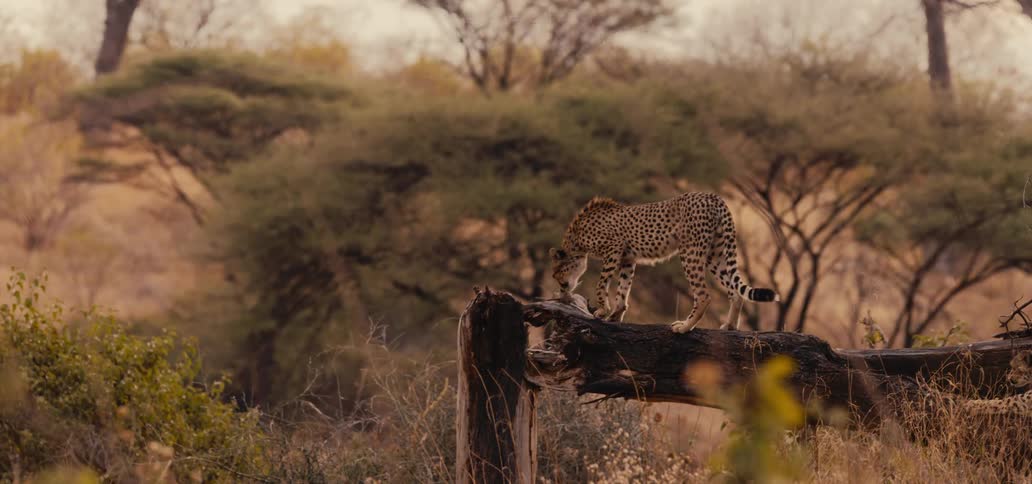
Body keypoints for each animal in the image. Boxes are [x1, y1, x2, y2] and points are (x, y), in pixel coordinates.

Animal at [549, 191, 779, 333]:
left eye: (556, 273)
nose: (562, 288)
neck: (577, 240)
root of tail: (712, 196)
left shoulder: (613, 250)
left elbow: (601, 285)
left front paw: (602, 310)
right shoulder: (628, 258)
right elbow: (623, 289)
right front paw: (615, 314)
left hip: (690, 252)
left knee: (704, 295)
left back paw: (684, 327)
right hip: (715, 254)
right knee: (735, 292)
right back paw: (729, 326)